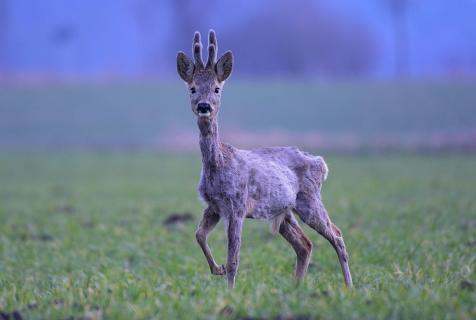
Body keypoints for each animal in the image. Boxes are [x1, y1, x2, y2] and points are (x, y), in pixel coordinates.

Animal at [177, 30, 352, 290]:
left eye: (217, 88)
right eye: (192, 88)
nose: (204, 106)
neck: (219, 164)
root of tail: (321, 163)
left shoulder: (237, 204)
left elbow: (234, 258)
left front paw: (229, 292)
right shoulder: (214, 206)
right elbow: (198, 234)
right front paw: (216, 269)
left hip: (309, 200)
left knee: (337, 235)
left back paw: (349, 287)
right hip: (284, 210)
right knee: (305, 244)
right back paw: (296, 287)